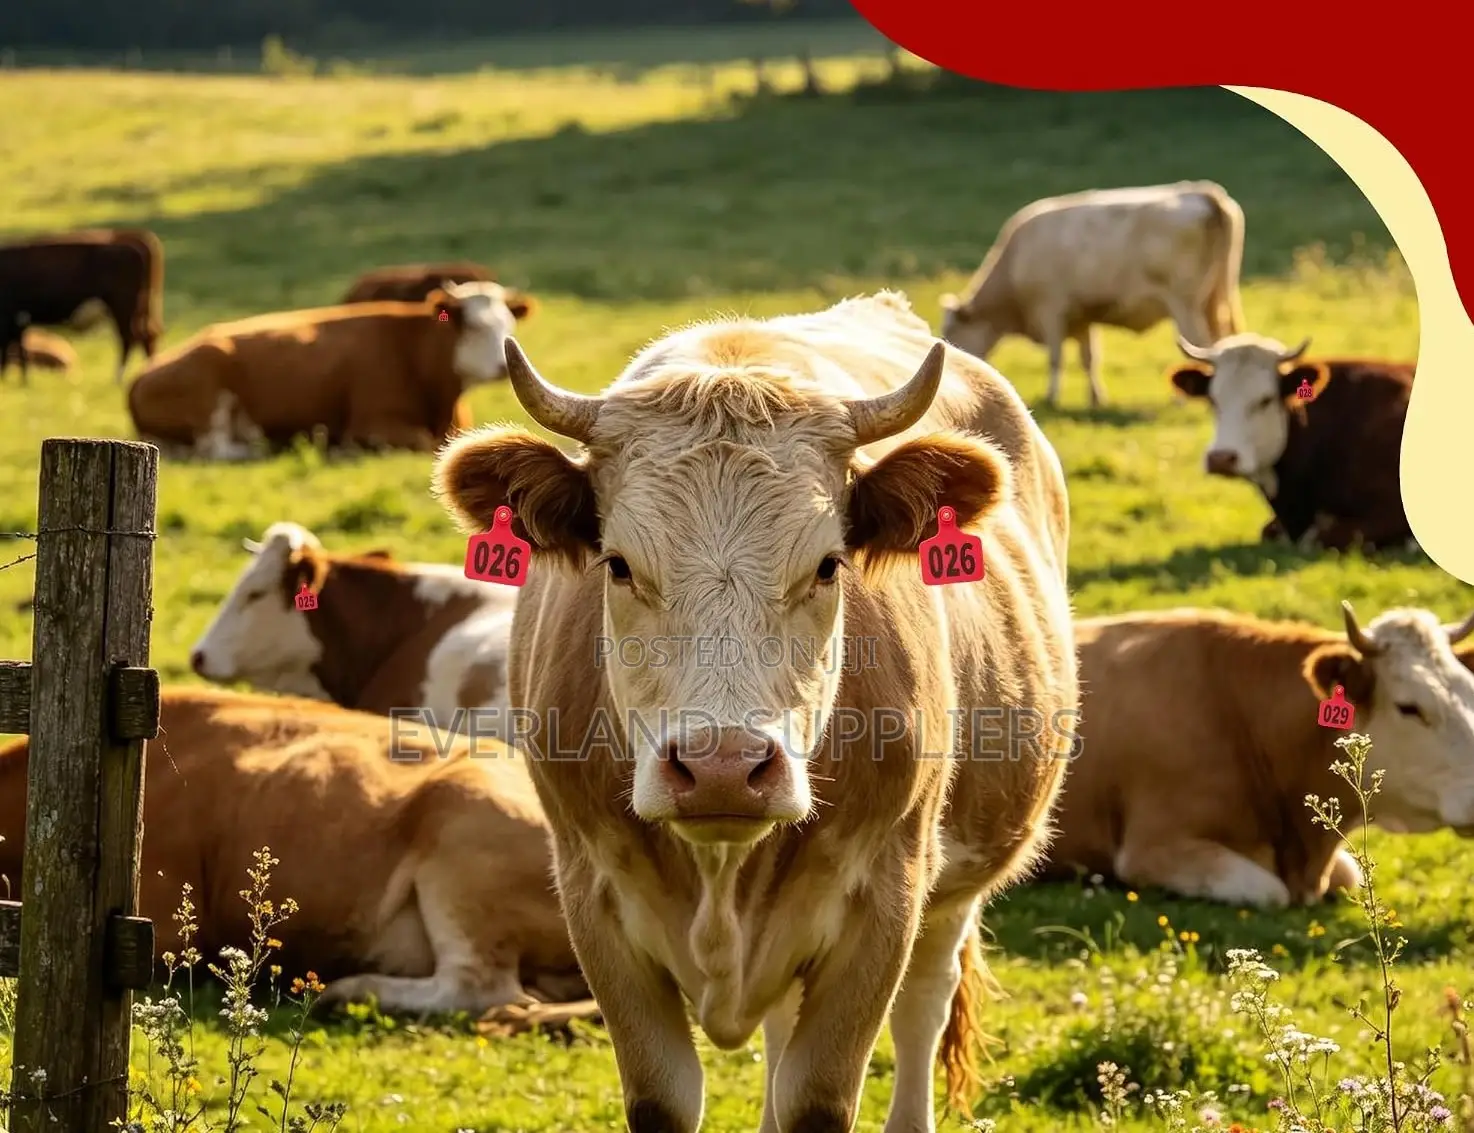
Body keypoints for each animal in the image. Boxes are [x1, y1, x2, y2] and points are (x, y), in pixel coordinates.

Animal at [0, 228, 164, 384]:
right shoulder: (16, 322)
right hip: (140, 309)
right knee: (146, 336)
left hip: (123, 306)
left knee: (131, 338)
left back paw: (119, 378)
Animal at [125, 281, 534, 460]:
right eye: (474, 326)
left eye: (508, 325)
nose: (502, 366)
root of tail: (142, 375)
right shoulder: (371, 423)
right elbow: (424, 442)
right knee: (217, 447)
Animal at [430, 290, 1079, 1133]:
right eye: (619, 564)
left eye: (829, 565)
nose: (722, 769)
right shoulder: (591, 896)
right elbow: (667, 1095)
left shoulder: (884, 902)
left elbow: (817, 1094)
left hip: (950, 891)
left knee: (922, 1009)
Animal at [939, 181, 1246, 408]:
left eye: (949, 336)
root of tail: (1200, 191)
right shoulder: (1083, 318)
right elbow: (1089, 359)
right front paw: (1096, 398)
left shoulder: (1052, 311)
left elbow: (1056, 358)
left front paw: (1051, 398)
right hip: (1214, 302)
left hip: (1186, 306)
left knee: (1200, 346)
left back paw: (1182, 400)